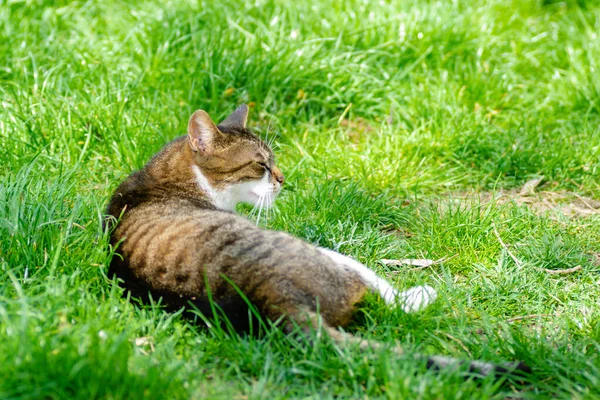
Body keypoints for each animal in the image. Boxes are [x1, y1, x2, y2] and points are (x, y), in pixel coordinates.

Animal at [105, 104, 528, 378]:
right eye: (260, 164)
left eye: (273, 161)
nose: (282, 178)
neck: (172, 176)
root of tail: (270, 301)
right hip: (330, 258)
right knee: (386, 296)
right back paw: (420, 294)